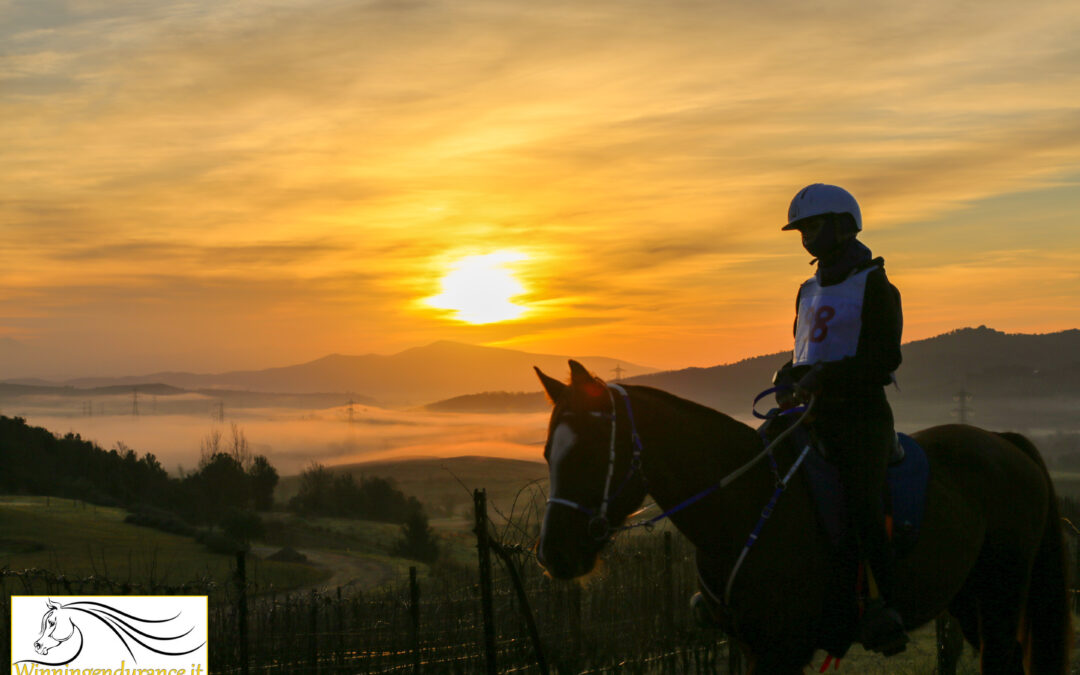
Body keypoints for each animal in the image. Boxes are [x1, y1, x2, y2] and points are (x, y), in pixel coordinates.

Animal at [533, 360, 1071, 673]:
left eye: (590, 453)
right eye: (547, 453)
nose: (554, 554)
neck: (743, 503)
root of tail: (1005, 443)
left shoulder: (783, 649)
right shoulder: (753, 648)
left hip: (1001, 596)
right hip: (967, 598)